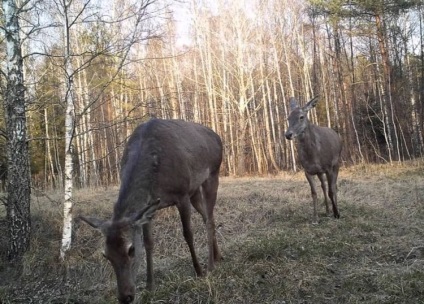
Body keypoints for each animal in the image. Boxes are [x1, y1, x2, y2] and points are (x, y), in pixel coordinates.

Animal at [80, 119, 224, 304]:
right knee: (206, 217)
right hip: (195, 191)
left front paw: (199, 271)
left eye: (131, 249)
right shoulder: (149, 208)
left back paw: (211, 265)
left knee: (210, 220)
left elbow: (188, 234)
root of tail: (217, 136)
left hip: (212, 174)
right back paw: (218, 256)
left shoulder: (182, 194)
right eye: (106, 255)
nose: (125, 296)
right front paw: (150, 285)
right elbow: (149, 242)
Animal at [284, 96, 342, 224]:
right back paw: (327, 211)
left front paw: (337, 213)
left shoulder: (328, 167)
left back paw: (335, 210)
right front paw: (315, 218)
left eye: (301, 116)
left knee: (334, 186)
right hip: (320, 171)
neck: (313, 155)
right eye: (288, 118)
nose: (288, 134)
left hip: (337, 162)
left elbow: (331, 191)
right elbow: (314, 193)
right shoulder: (308, 171)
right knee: (324, 186)